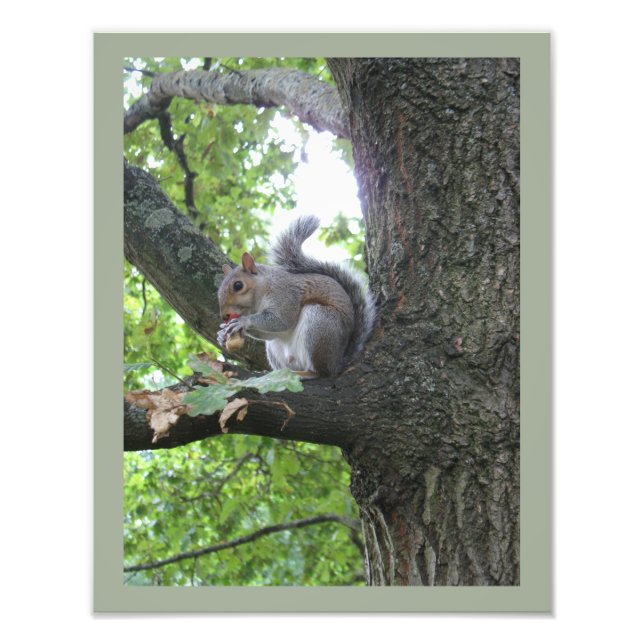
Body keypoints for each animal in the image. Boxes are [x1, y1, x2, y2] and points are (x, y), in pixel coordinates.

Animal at [217, 215, 375, 377]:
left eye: (238, 285)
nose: (224, 315)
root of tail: (337, 362)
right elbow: (270, 333)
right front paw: (222, 334)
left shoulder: (285, 295)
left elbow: (282, 321)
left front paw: (243, 321)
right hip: (277, 350)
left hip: (320, 323)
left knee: (321, 372)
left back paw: (307, 374)